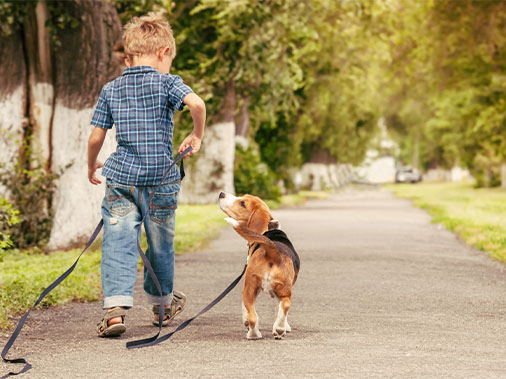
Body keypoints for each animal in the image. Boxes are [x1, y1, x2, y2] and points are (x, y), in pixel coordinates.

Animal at [218, 191, 298, 340]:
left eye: (243, 203)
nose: (221, 193)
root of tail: (273, 251)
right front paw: (285, 327)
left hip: (249, 288)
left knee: (253, 316)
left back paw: (254, 334)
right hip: (283, 290)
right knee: (285, 304)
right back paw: (278, 329)